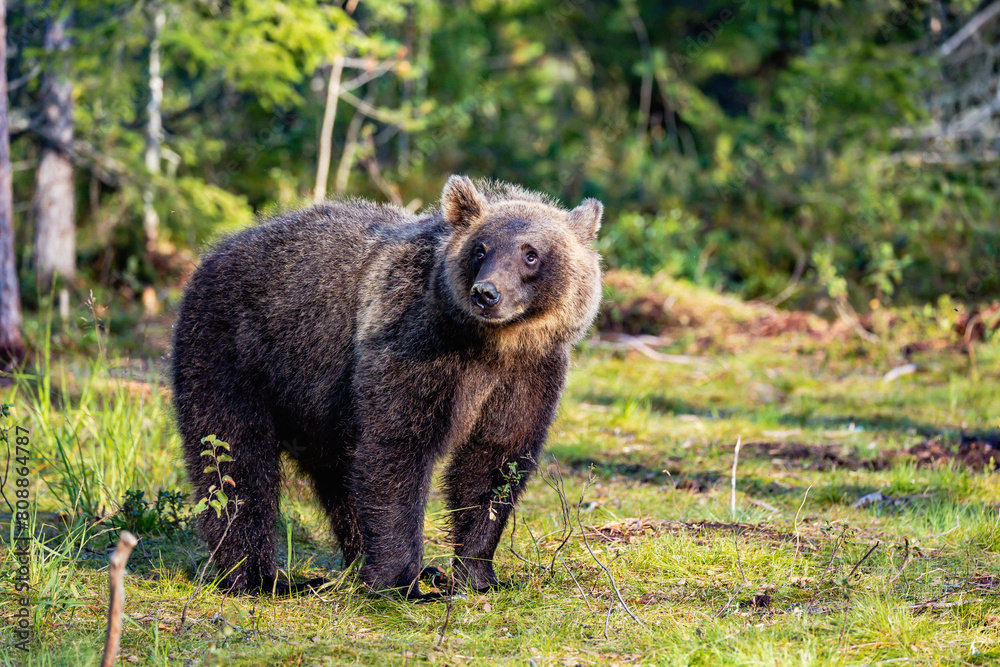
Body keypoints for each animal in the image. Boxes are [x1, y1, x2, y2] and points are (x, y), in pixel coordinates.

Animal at [171, 176, 603, 599]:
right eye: (480, 250)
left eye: (531, 254)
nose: (486, 293)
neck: (492, 343)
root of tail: (215, 249)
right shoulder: (414, 346)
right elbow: (396, 450)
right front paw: (402, 581)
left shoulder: (529, 374)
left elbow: (494, 462)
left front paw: (476, 574)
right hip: (235, 351)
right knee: (233, 460)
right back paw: (260, 577)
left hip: (320, 404)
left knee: (337, 476)